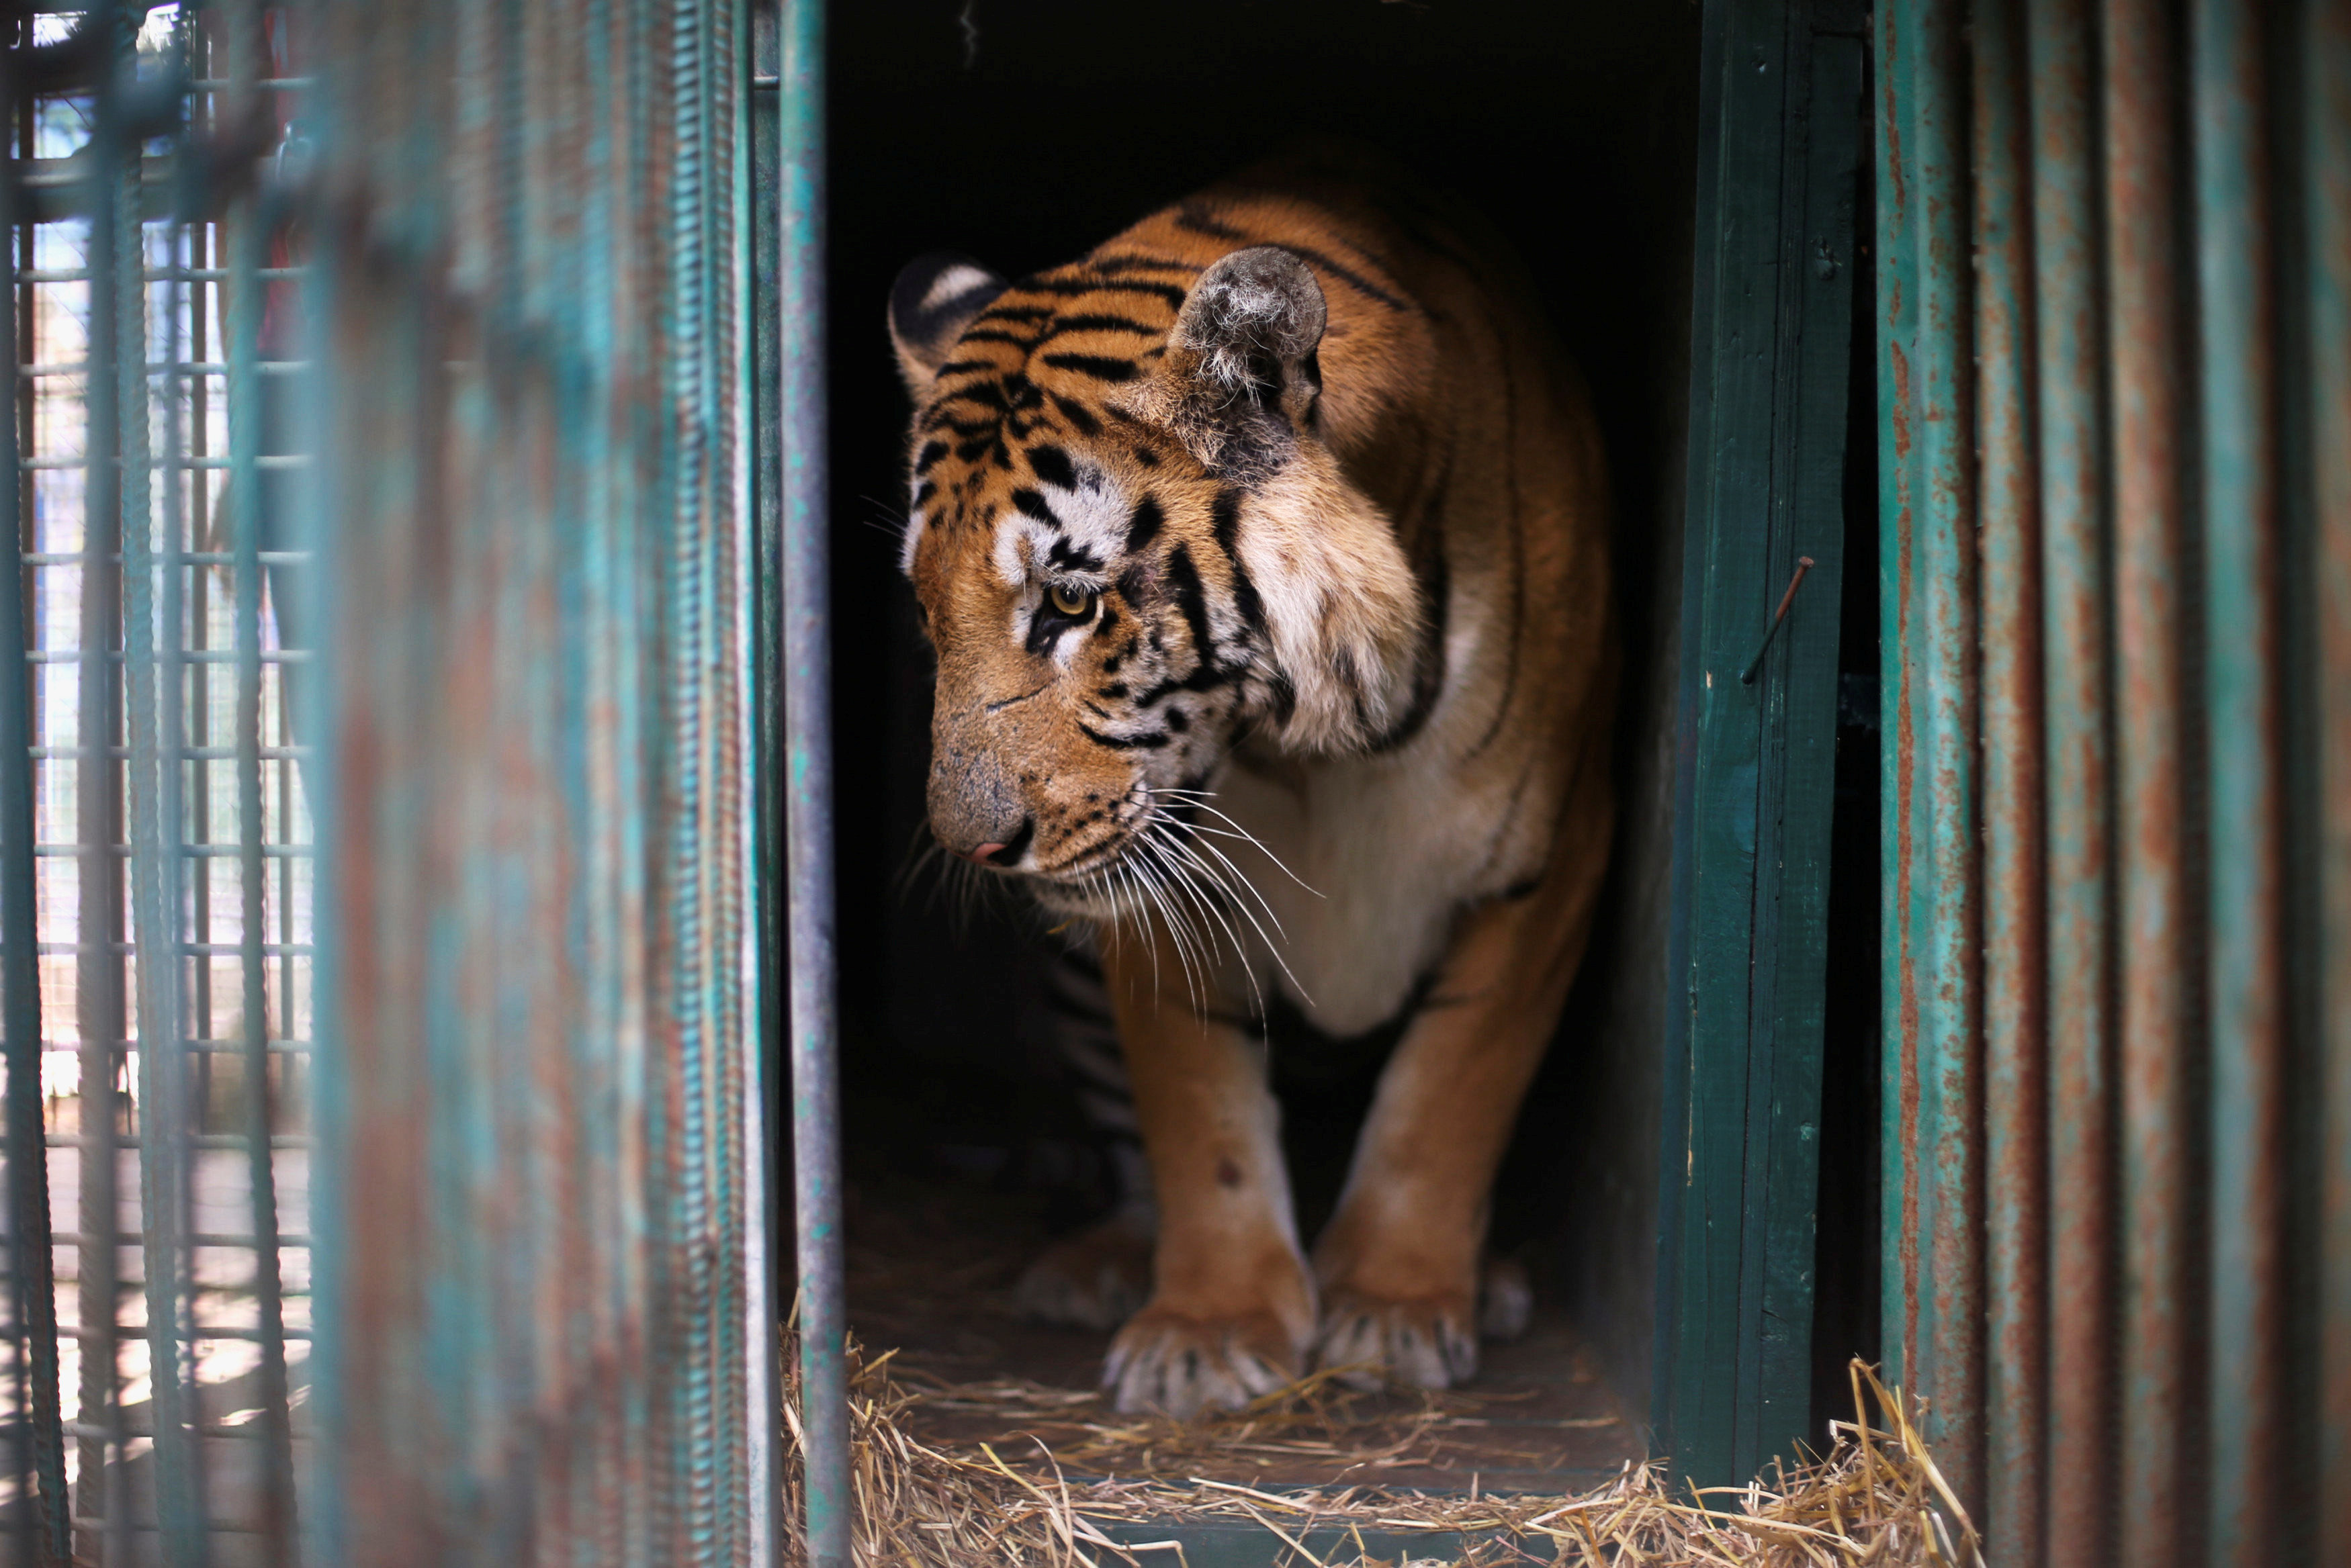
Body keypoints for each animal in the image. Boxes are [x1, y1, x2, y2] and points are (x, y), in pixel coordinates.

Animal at [884, 150, 1617, 1420]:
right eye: (928, 611)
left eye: (1069, 602)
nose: (975, 846)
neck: (1312, 748)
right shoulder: (1147, 879)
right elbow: (1198, 1115)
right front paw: (1209, 1334)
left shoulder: (1550, 854)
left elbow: (1450, 1088)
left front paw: (1395, 1307)